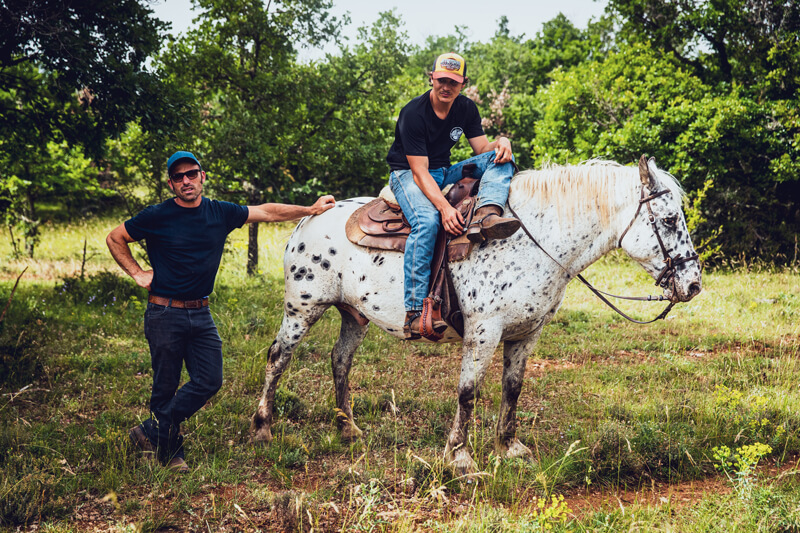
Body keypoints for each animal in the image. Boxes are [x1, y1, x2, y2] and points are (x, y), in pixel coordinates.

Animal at [253, 156, 704, 472]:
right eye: (668, 220)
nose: (694, 284)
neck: (531, 240)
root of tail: (309, 217)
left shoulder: (526, 332)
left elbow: (512, 388)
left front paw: (510, 447)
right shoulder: (484, 332)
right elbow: (468, 391)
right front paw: (459, 456)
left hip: (354, 315)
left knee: (340, 361)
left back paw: (347, 428)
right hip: (302, 308)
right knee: (278, 358)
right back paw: (262, 427)